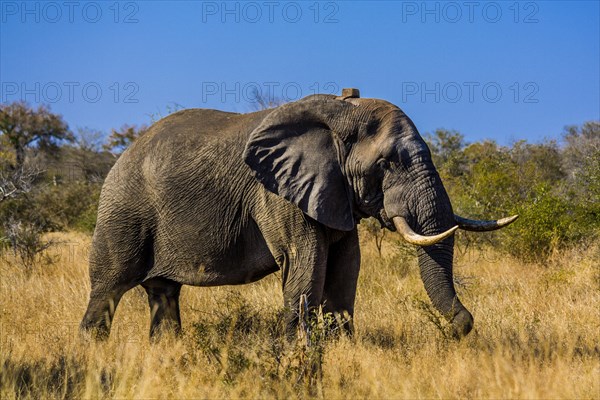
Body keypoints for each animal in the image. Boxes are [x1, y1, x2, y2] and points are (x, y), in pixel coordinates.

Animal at [82, 89, 516, 340]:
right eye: (387, 163)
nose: (464, 328)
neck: (341, 111)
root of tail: (124, 153)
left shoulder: (334, 193)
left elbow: (347, 266)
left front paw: (341, 349)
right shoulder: (278, 194)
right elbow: (306, 262)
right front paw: (299, 354)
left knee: (163, 295)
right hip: (123, 210)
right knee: (108, 290)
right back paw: (94, 353)